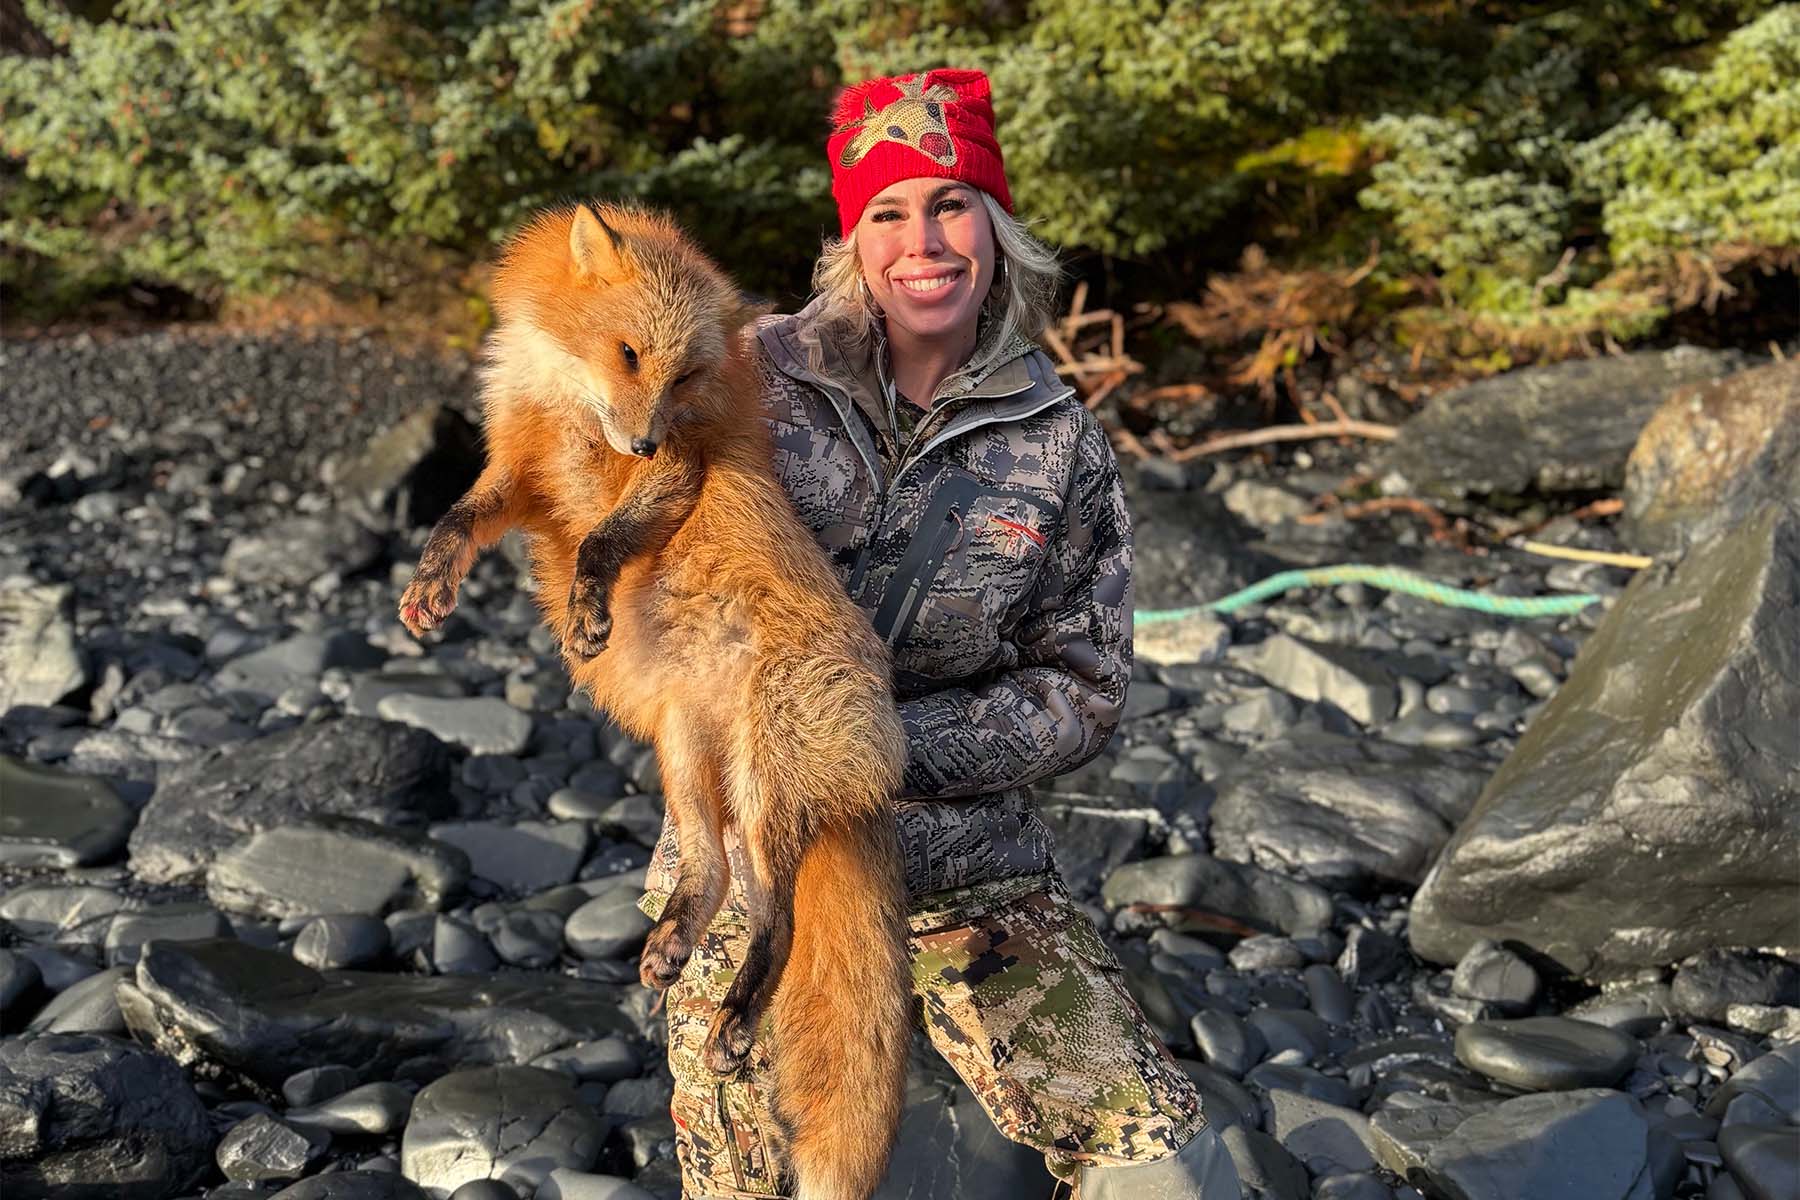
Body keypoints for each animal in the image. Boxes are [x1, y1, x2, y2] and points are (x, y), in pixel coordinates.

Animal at [396, 201, 911, 1199]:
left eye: (685, 375)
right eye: (630, 353)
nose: (636, 441)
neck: (575, 415)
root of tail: (879, 772)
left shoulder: (680, 467)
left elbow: (604, 539)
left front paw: (589, 608)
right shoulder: (520, 468)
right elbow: (458, 518)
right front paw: (431, 587)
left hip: (765, 781)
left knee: (777, 920)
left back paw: (738, 1020)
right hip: (685, 754)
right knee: (710, 876)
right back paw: (673, 942)